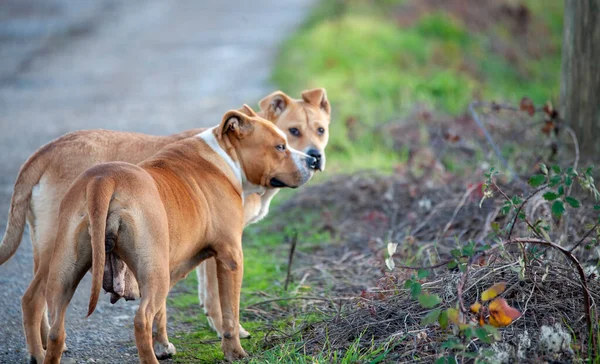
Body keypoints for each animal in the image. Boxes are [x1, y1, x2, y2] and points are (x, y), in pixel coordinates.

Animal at [0, 87, 330, 358]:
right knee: (38, 301)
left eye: (321, 130)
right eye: (284, 141)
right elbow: (226, 307)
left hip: (66, 264)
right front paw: (233, 346)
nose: (313, 159)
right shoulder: (230, 254)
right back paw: (38, 352)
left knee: (55, 315)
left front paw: (165, 343)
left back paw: (52, 345)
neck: (225, 156)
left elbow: (172, 307)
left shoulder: (182, 259)